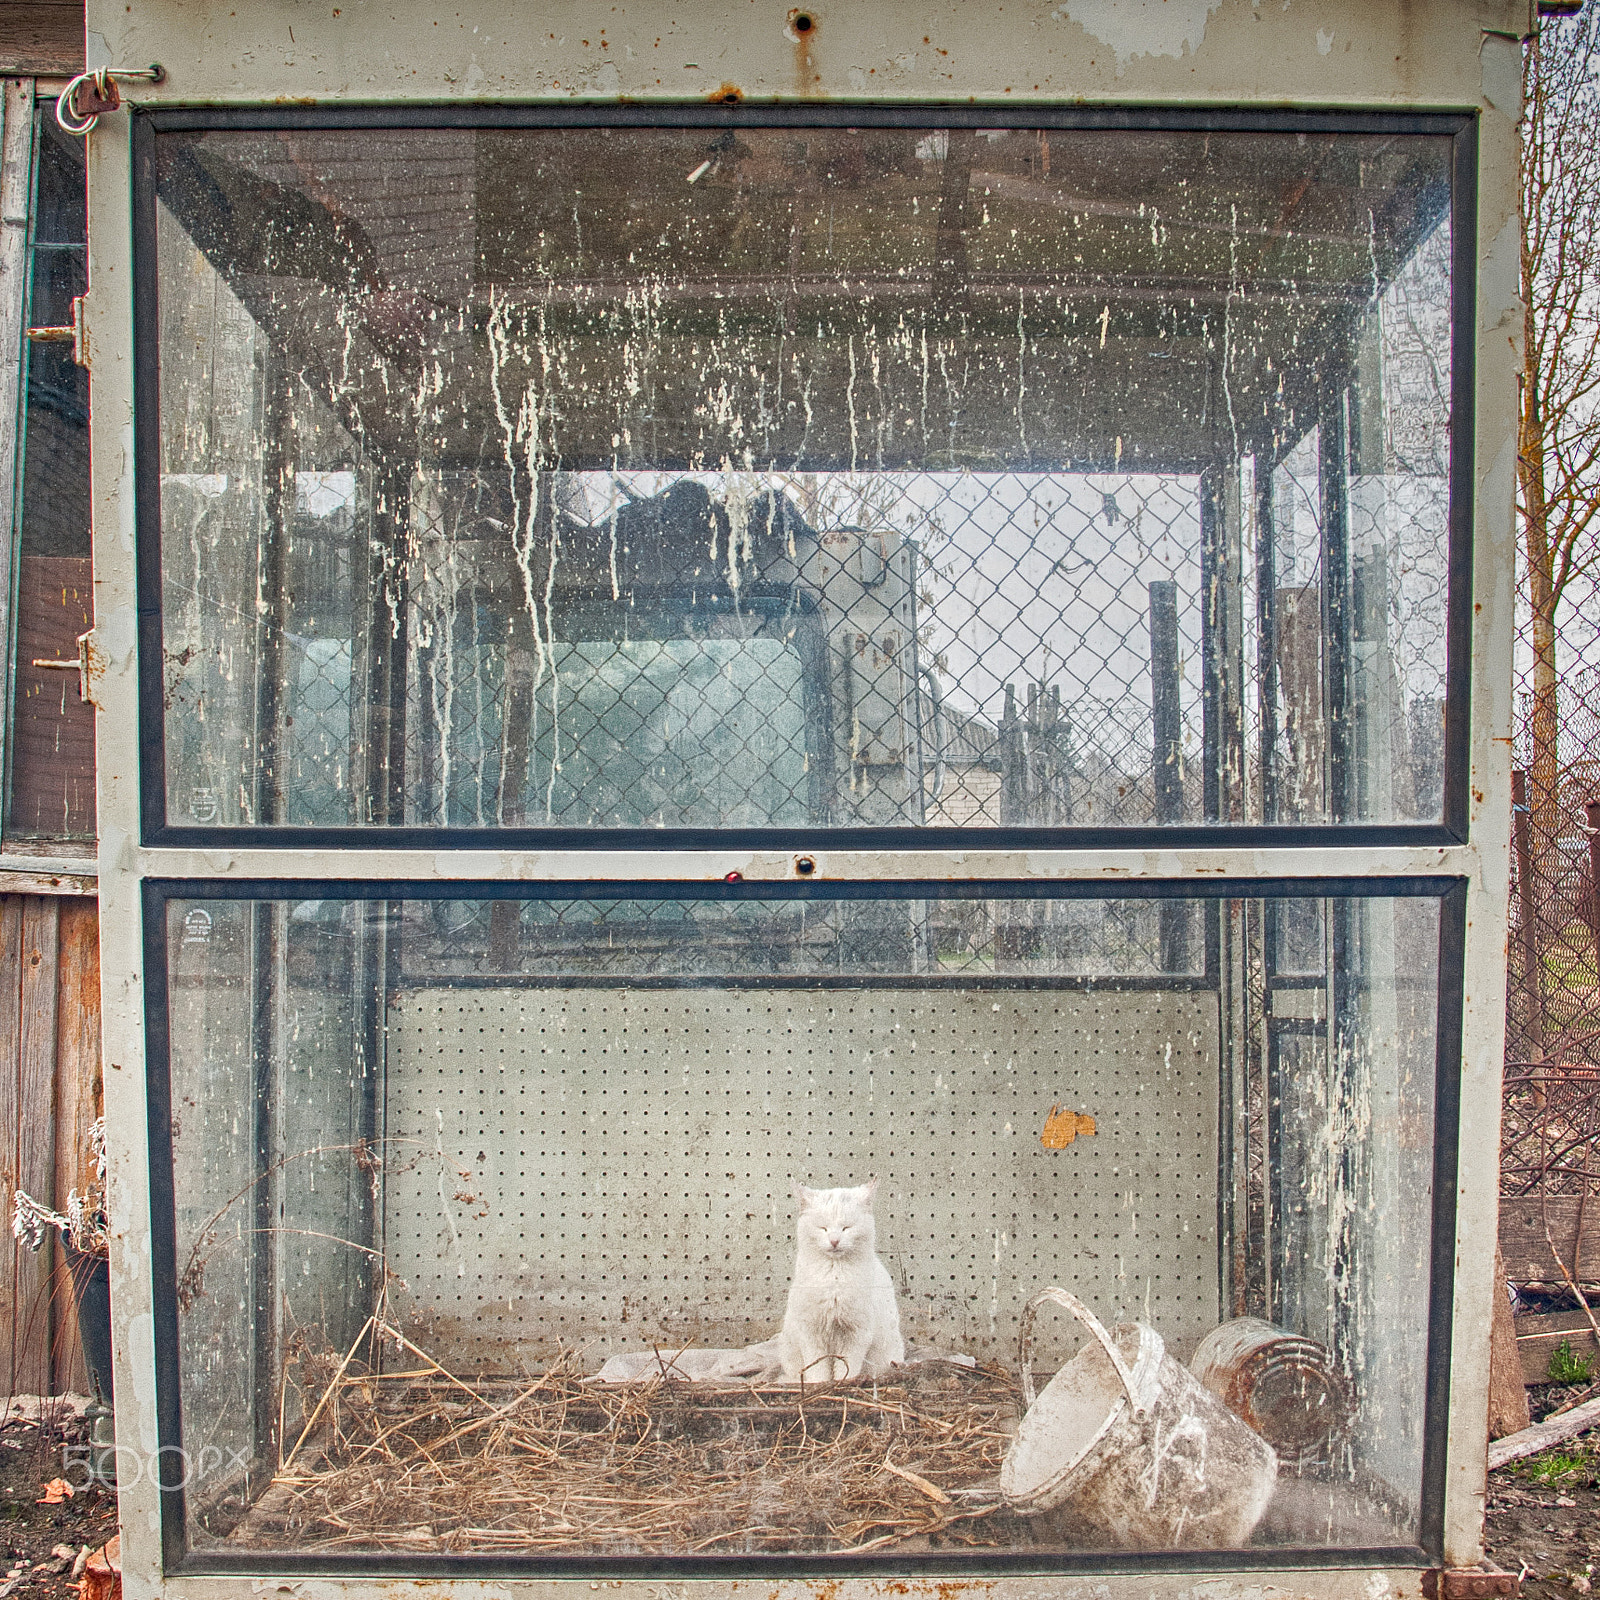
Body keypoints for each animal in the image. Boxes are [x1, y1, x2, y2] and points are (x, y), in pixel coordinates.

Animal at [777, 1177, 908, 1388]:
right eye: (823, 1227)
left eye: (847, 1227)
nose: (834, 1240)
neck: (835, 1277)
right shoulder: (811, 1333)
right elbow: (817, 1370)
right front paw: (819, 1386)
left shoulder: (856, 1334)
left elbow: (846, 1368)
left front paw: (841, 1383)